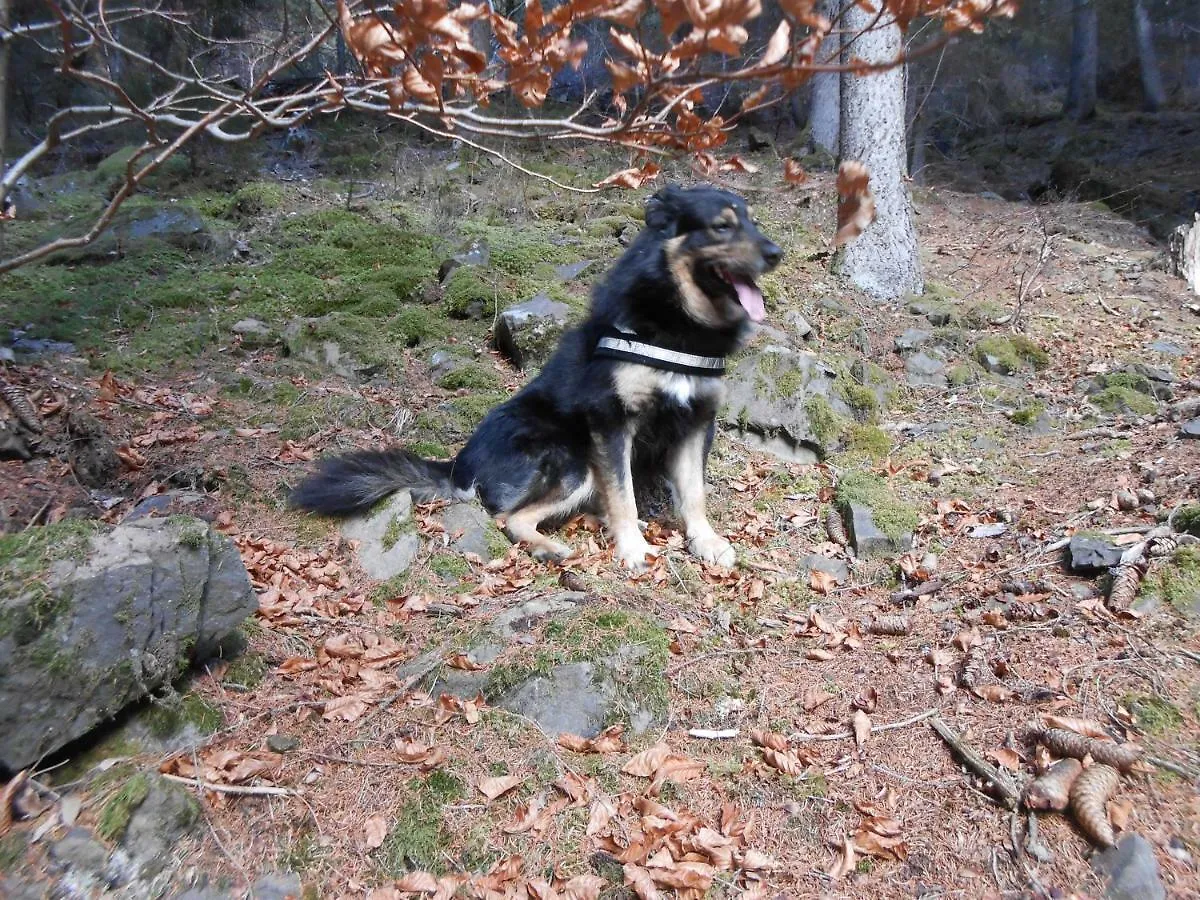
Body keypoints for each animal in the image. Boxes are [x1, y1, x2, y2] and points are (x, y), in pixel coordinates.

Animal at [285, 183, 782, 571]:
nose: (776, 253)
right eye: (721, 227)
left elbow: (693, 492)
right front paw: (633, 550)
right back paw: (552, 548)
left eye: (752, 223)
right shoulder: (611, 423)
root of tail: (460, 467)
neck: (679, 323)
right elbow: (622, 493)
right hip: (572, 458)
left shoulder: (696, 422)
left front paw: (705, 541)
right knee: (515, 517)